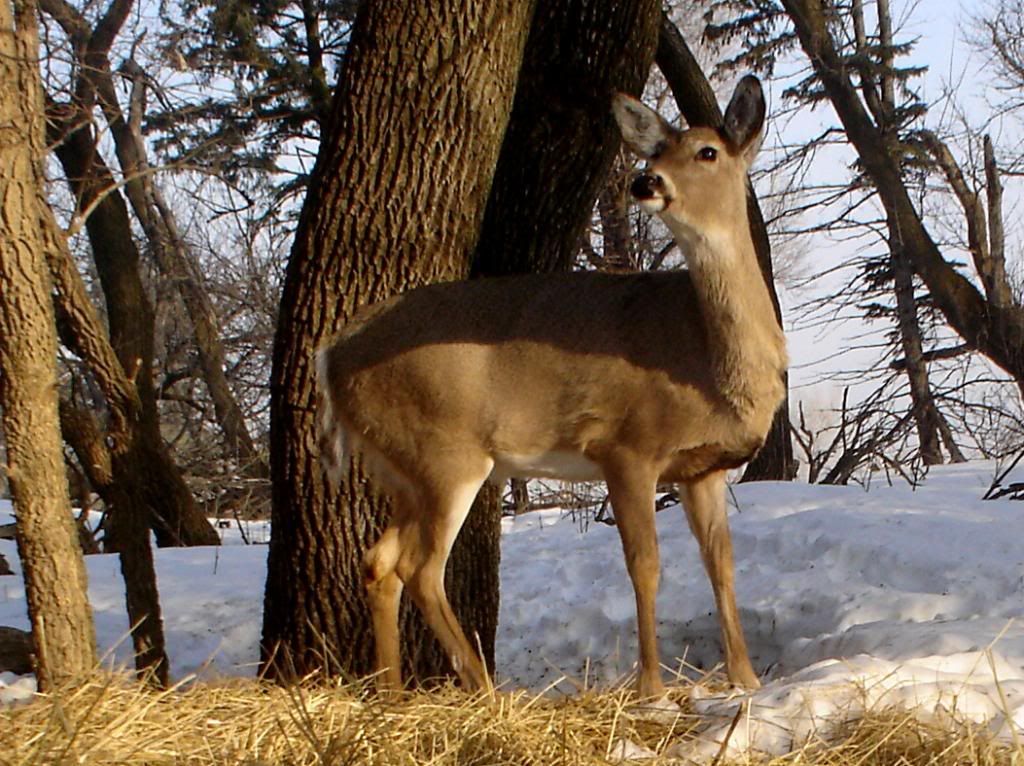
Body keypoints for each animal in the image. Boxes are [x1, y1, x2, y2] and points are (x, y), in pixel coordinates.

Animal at [317, 74, 782, 696]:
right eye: (655, 151)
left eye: (707, 151)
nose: (645, 182)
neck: (705, 360)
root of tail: (330, 356)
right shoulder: (626, 444)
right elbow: (646, 564)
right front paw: (652, 688)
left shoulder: (701, 467)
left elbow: (720, 563)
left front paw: (746, 680)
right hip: (446, 452)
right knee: (420, 567)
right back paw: (483, 689)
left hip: (400, 468)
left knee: (378, 562)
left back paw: (392, 695)